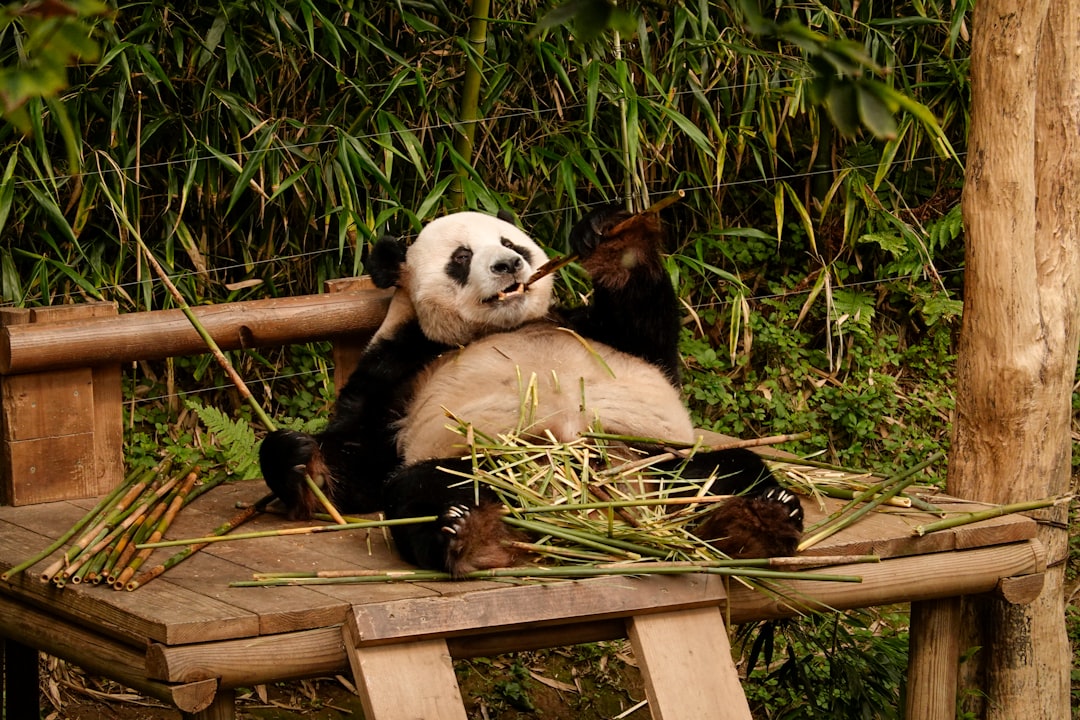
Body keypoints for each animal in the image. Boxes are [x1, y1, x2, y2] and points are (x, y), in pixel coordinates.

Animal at [259, 205, 804, 577]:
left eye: (512, 243)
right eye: (462, 257)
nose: (506, 266)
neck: (507, 324)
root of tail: (594, 511)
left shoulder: (589, 330)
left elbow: (652, 341)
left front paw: (609, 235)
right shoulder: (401, 363)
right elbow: (361, 458)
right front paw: (296, 457)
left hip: (652, 457)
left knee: (726, 471)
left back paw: (765, 517)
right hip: (484, 466)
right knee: (420, 491)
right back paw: (465, 533)